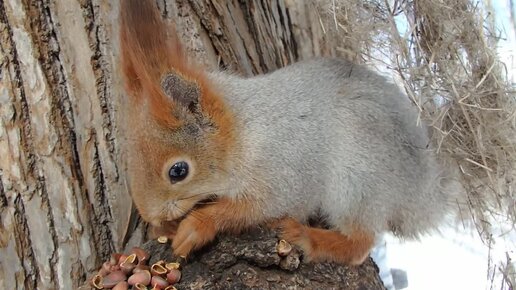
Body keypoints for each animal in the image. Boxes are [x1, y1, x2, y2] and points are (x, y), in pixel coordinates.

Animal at [120, 0, 460, 266]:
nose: (152, 216)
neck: (246, 131)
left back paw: (307, 237)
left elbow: (252, 208)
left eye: (178, 171)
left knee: (360, 244)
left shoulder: (286, 173)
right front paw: (165, 229)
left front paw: (196, 226)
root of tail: (420, 195)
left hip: (359, 180)